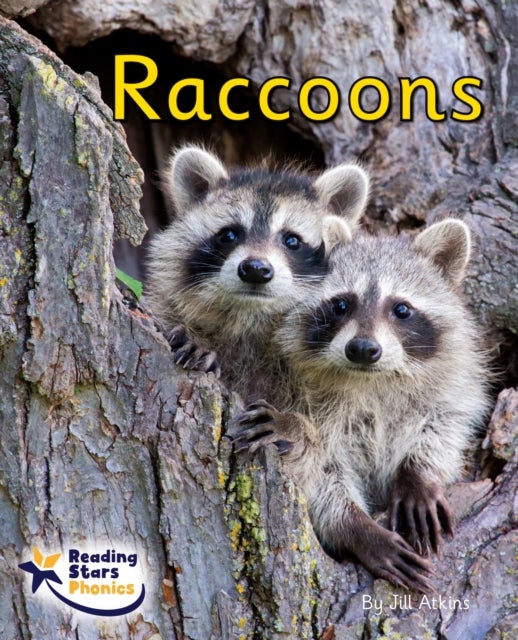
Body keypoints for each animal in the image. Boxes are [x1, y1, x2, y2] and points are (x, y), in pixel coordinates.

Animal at [232, 220, 490, 592]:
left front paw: (418, 474)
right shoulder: (290, 388)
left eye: (401, 309)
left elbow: (447, 422)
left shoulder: (451, 382)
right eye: (341, 305)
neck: (373, 379)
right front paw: (356, 527)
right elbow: (323, 475)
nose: (363, 349)